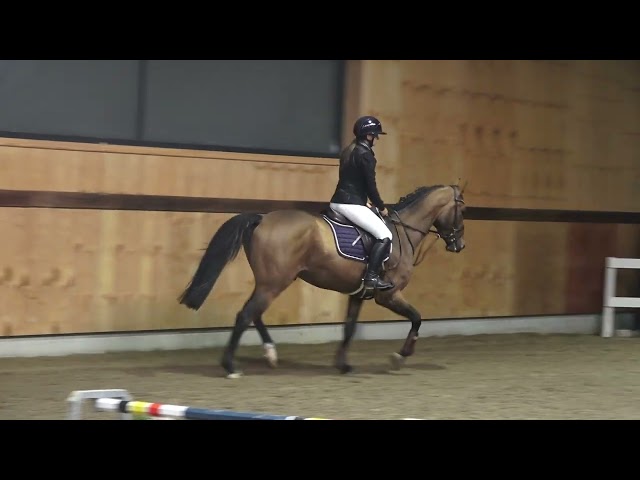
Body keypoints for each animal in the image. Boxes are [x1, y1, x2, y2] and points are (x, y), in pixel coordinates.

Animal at [178, 182, 468, 376]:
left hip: (270, 281)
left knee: (253, 313)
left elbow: (349, 328)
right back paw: (231, 366)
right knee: (245, 315)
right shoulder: (389, 295)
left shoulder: (359, 294)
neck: (400, 234)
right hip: (275, 282)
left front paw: (343, 364)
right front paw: (400, 356)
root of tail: (262, 218)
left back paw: (270, 354)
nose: (459, 245)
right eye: (462, 210)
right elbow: (417, 318)